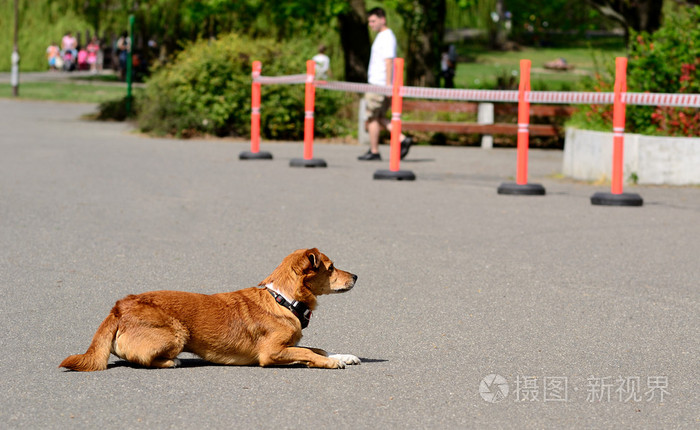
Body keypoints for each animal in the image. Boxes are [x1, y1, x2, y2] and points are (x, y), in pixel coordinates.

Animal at [58, 247, 360, 372]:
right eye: (331, 268)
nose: (356, 276)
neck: (281, 299)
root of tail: (120, 306)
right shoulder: (271, 353)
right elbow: (307, 353)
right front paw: (331, 363)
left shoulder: (289, 345)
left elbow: (316, 348)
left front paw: (344, 355)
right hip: (176, 333)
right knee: (139, 358)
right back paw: (172, 362)